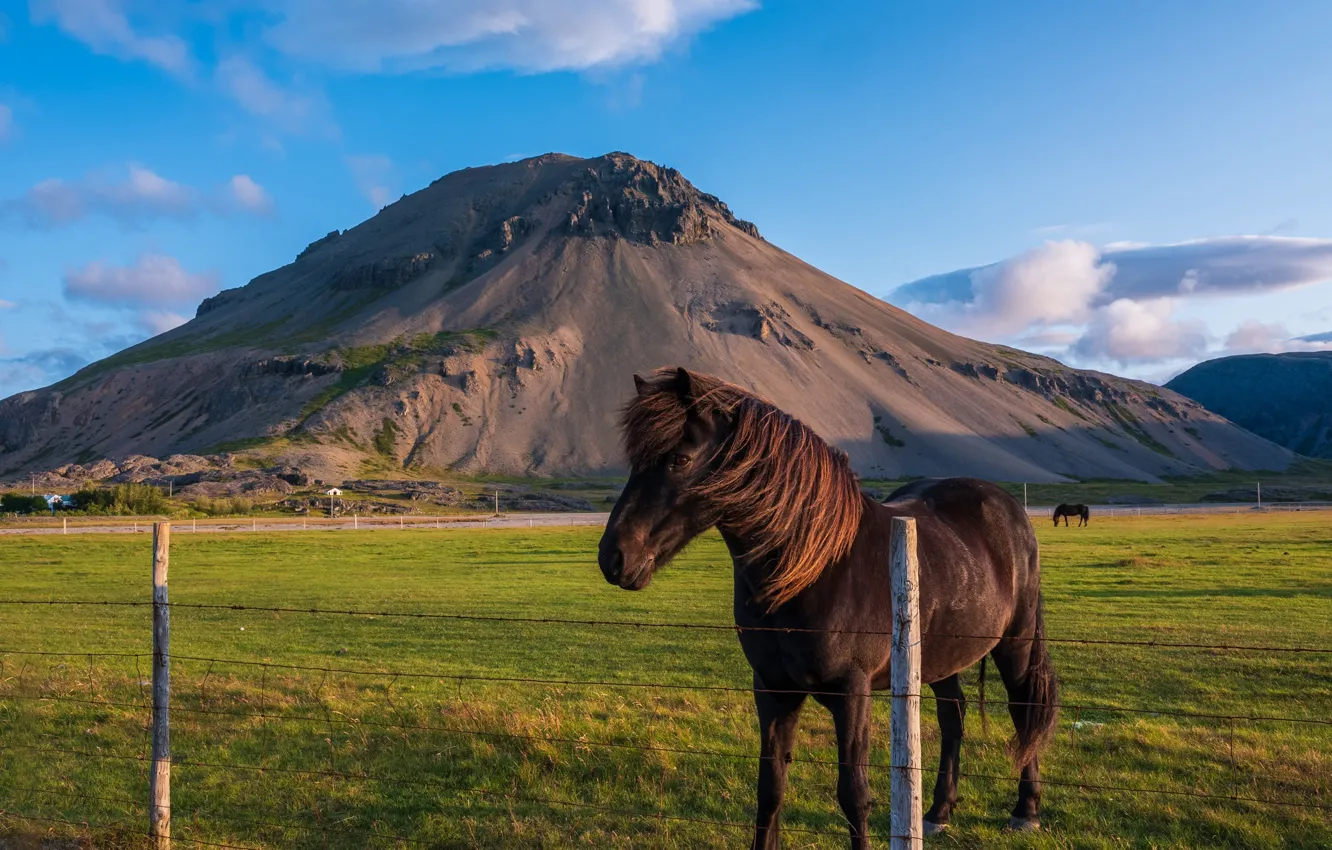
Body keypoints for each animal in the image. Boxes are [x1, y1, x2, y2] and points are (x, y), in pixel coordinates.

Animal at [597, 367, 1059, 848]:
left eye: (680, 459)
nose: (613, 557)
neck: (814, 569)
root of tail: (1010, 509)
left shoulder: (851, 694)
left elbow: (853, 796)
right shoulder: (773, 690)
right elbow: (770, 788)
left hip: (1016, 645)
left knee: (1023, 710)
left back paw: (1026, 810)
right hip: (940, 656)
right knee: (954, 715)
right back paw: (937, 812)